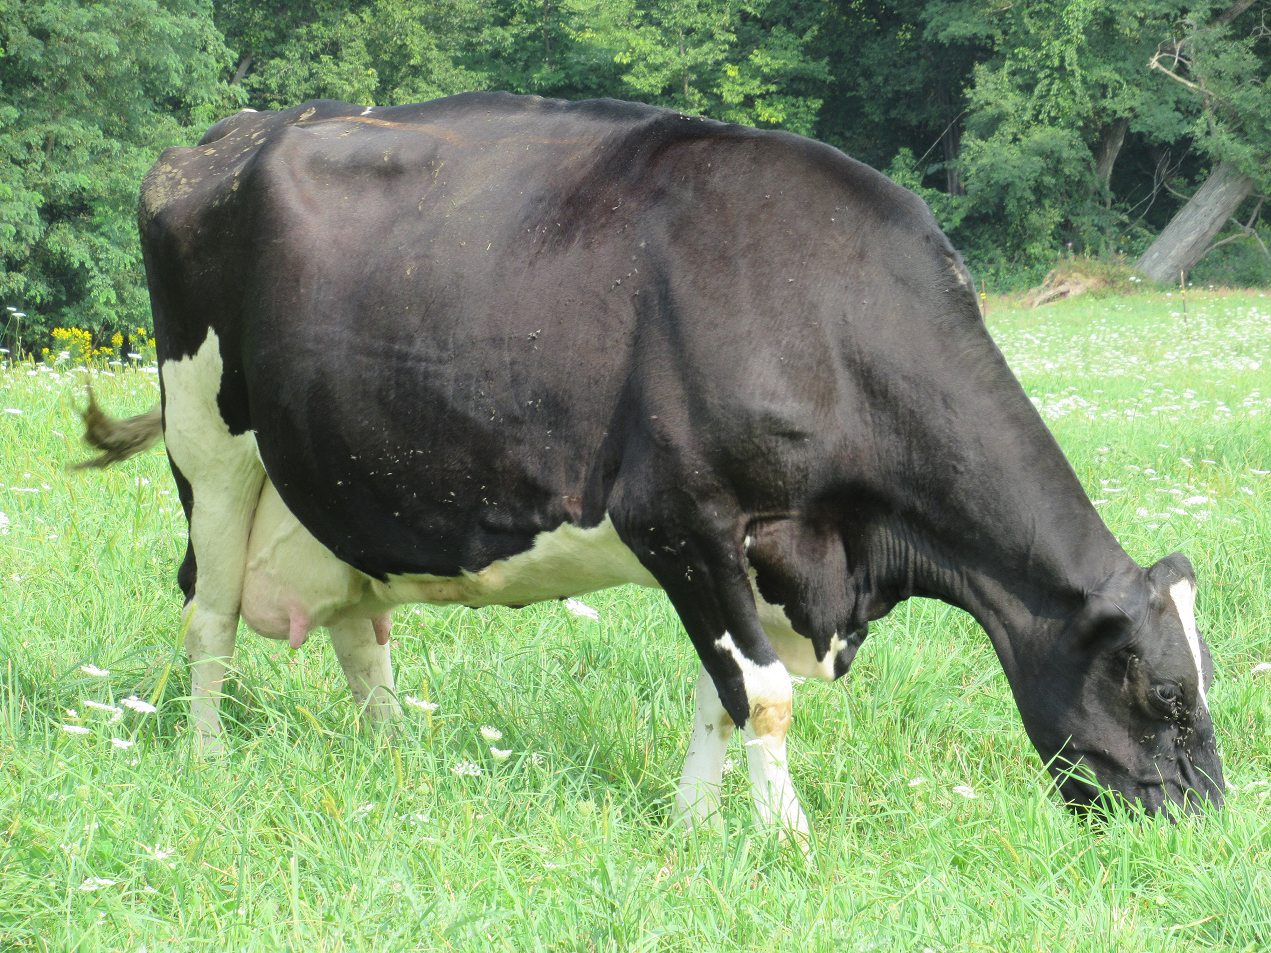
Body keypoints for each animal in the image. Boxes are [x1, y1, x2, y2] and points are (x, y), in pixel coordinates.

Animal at [84, 93, 1225, 833]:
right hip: (210, 440)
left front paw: (690, 827)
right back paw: (210, 761)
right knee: (208, 614)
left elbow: (717, 690)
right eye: (1166, 695)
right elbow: (761, 692)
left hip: (335, 482)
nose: (1206, 824)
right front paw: (785, 840)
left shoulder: (762, 554)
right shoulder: (681, 515)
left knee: (361, 634)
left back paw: (396, 764)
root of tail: (217, 139)